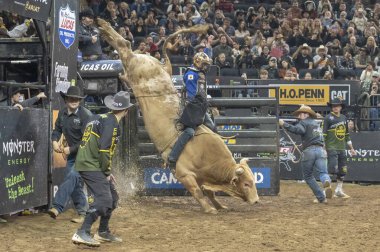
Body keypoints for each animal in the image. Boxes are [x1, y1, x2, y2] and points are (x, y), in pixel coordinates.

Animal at [96, 18, 260, 214]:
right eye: (246, 184)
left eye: (253, 181)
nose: (257, 200)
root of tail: (159, 66)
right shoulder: (184, 174)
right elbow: (197, 192)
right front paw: (209, 209)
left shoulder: (203, 179)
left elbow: (209, 192)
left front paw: (220, 205)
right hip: (133, 65)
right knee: (124, 45)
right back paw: (104, 27)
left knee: (126, 48)